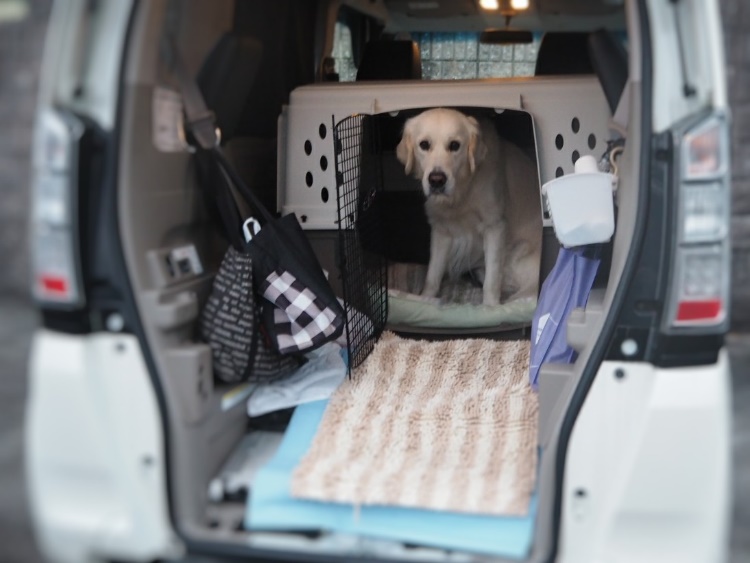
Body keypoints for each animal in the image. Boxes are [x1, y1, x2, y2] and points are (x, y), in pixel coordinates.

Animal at [396, 107, 544, 306]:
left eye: (454, 145)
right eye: (424, 144)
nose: (436, 180)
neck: (462, 192)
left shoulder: (494, 227)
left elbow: (492, 279)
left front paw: (490, 307)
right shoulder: (440, 230)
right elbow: (433, 275)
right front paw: (425, 298)